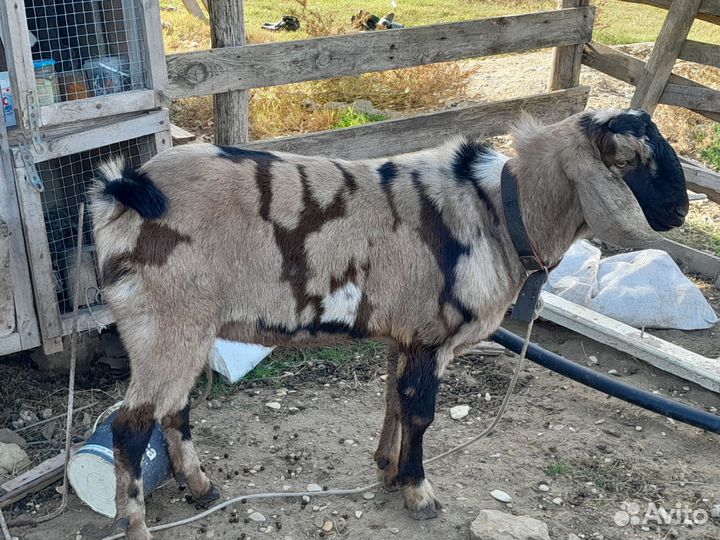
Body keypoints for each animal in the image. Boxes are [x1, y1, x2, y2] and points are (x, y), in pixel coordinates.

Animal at [89, 108, 688, 539]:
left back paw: (201, 487)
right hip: (165, 322)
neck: (499, 214)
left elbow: (394, 400)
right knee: (130, 426)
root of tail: (125, 190)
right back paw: (137, 527)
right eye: (633, 161)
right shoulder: (433, 336)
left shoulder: (407, 331)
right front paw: (419, 492)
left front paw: (386, 468)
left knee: (174, 408)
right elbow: (421, 412)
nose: (679, 213)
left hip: (179, 328)